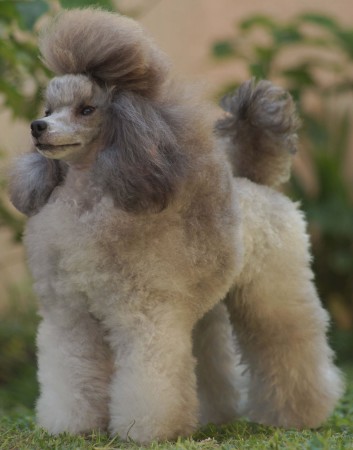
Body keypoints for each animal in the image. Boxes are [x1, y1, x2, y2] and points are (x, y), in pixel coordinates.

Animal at [8, 7, 344, 442]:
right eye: (49, 109)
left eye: (86, 110)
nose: (37, 127)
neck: (87, 203)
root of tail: (255, 182)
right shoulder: (70, 316)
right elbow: (71, 372)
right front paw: (71, 425)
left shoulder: (145, 315)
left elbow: (149, 377)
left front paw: (145, 429)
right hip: (207, 308)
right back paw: (214, 415)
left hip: (274, 290)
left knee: (287, 342)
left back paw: (299, 414)